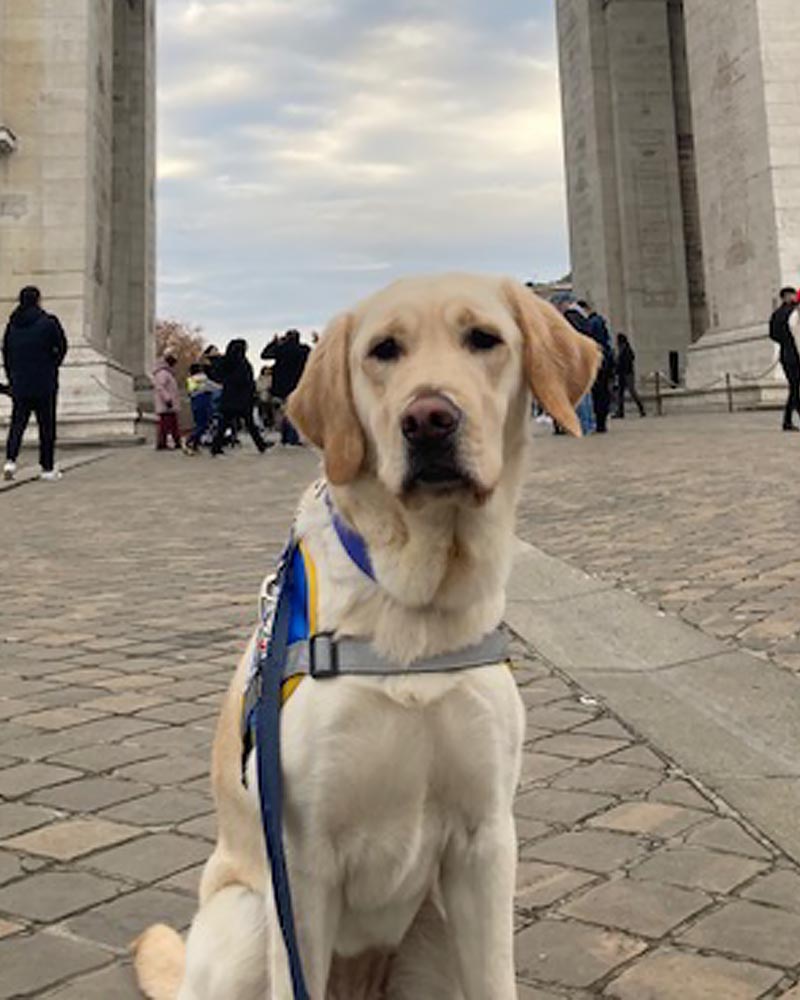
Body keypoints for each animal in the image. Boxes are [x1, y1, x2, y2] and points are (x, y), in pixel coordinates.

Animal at [134, 274, 596, 1000]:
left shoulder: (485, 842)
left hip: (432, 932)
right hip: (246, 920)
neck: (416, 599)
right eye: (384, 350)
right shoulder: (301, 864)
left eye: (484, 338)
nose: (429, 418)